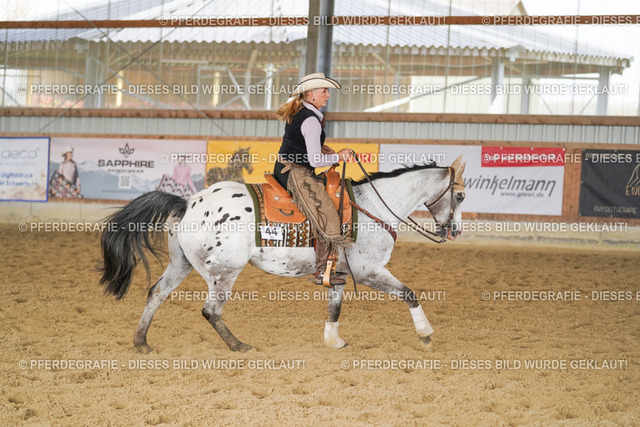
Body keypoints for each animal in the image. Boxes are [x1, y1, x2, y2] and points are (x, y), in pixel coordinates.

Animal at [99, 156, 466, 353]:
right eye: (460, 196)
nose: (455, 231)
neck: (372, 206)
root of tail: (187, 202)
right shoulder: (369, 271)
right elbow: (409, 293)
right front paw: (425, 334)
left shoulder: (338, 274)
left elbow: (335, 308)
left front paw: (332, 341)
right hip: (224, 271)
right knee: (210, 310)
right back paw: (239, 346)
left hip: (181, 264)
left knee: (156, 293)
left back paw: (142, 341)